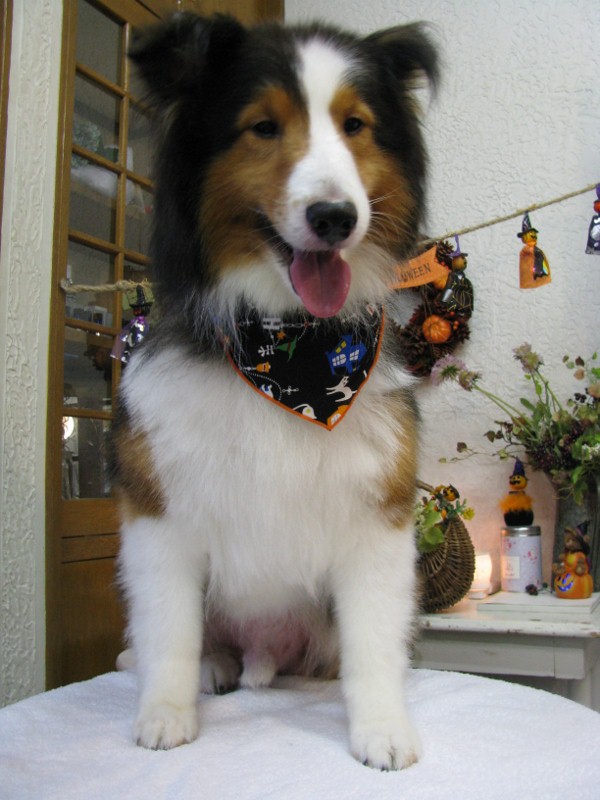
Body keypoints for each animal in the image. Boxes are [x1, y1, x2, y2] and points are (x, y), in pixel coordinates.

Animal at [111, 12, 437, 771]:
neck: (289, 350)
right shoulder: (158, 514)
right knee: (188, 641)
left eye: (355, 125)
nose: (334, 217)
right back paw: (214, 668)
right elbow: (169, 632)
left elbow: (375, 647)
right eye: (263, 126)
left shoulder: (377, 517)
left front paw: (382, 729)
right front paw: (164, 717)